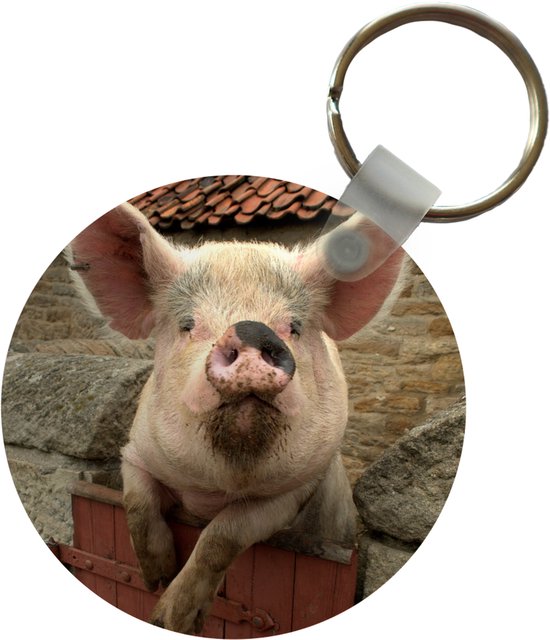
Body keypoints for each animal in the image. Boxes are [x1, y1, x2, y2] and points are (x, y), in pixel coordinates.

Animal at [70, 201, 404, 634]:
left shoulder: (294, 490)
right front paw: (155, 578)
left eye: (294, 326)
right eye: (188, 324)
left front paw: (171, 619)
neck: (217, 488)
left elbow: (223, 535)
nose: (250, 330)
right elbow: (137, 502)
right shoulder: (137, 451)